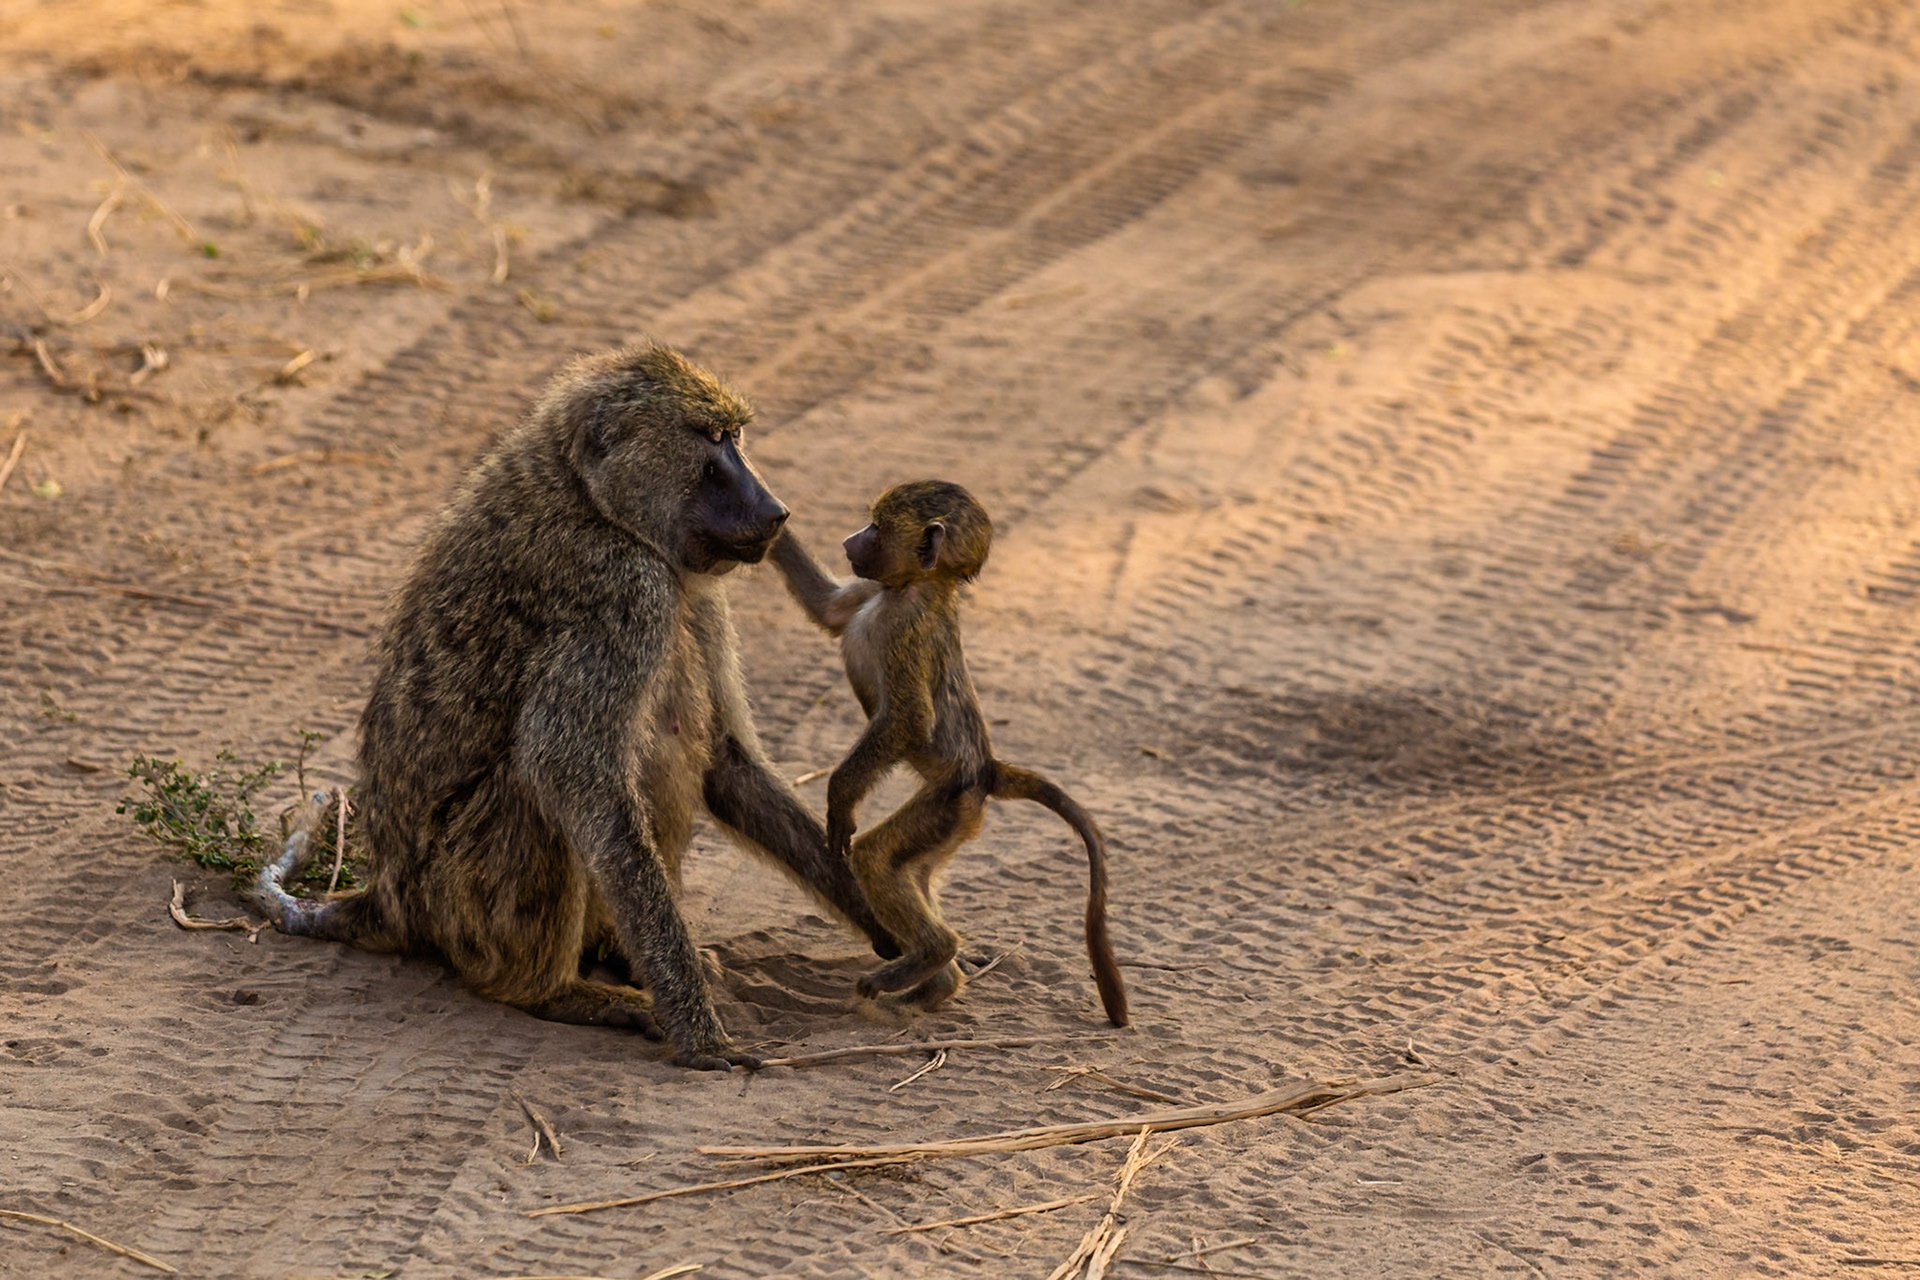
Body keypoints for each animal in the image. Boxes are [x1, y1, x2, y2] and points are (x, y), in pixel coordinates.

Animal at [254, 342, 901, 1071]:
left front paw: (896, 932)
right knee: (536, 792)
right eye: (710, 439)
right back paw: (557, 992)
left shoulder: (693, 591)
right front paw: (699, 1031)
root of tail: (389, 901)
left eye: (735, 436)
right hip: (460, 902)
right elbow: (569, 770)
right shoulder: (625, 586)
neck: (590, 498)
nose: (775, 510)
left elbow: (726, 763)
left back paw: (615, 954)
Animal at [770, 480, 1129, 1027]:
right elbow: (828, 607)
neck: (917, 587)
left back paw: (934, 955)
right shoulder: (875, 588)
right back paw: (938, 984)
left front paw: (839, 800)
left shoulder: (906, 629)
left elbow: (909, 718)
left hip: (950, 803)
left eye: (876, 527)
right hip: (954, 824)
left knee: (875, 856)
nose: (850, 541)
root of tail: (987, 769)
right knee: (913, 872)